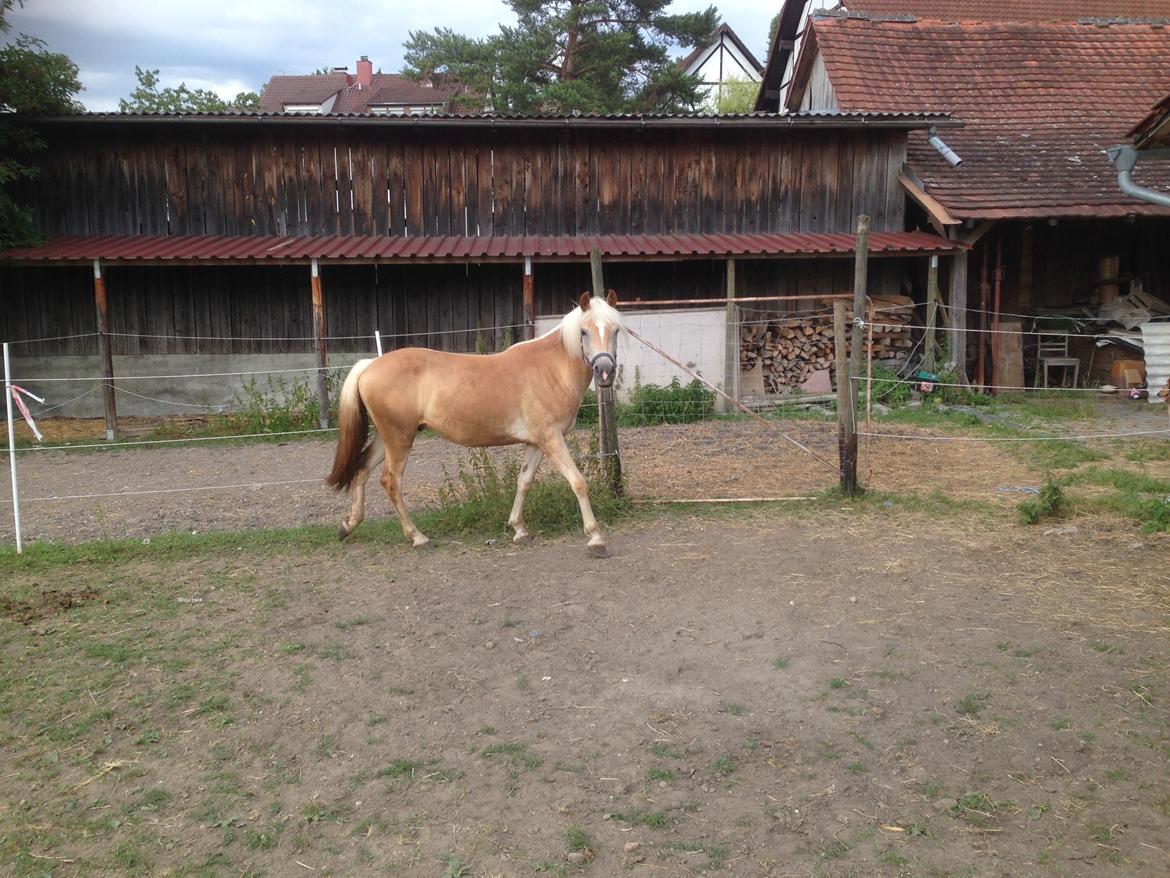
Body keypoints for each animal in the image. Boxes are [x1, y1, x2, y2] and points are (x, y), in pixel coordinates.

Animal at [325, 293, 627, 557]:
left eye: (616, 330)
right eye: (584, 331)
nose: (605, 372)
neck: (550, 369)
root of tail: (370, 365)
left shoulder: (536, 442)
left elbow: (524, 482)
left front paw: (519, 530)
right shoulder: (551, 439)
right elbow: (578, 482)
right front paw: (596, 538)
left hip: (387, 437)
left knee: (361, 470)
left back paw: (348, 525)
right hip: (399, 440)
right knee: (390, 482)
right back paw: (418, 537)